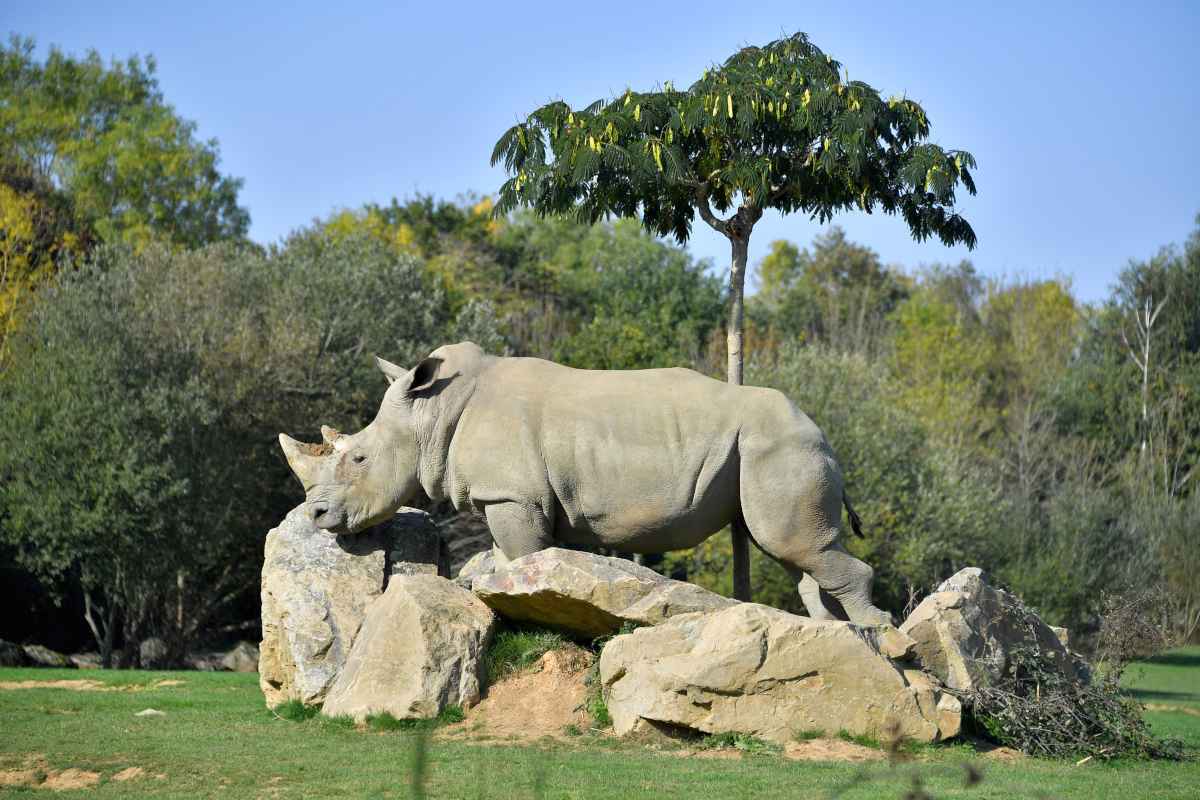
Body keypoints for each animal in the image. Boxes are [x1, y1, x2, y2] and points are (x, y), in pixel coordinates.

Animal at [276, 340, 888, 623]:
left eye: (358, 458)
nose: (317, 516)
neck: (431, 416)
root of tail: (821, 431)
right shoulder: (539, 499)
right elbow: (534, 562)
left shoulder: (512, 494)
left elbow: (520, 559)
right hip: (774, 447)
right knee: (799, 555)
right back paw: (840, 638)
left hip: (782, 445)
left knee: (792, 546)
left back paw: (887, 645)